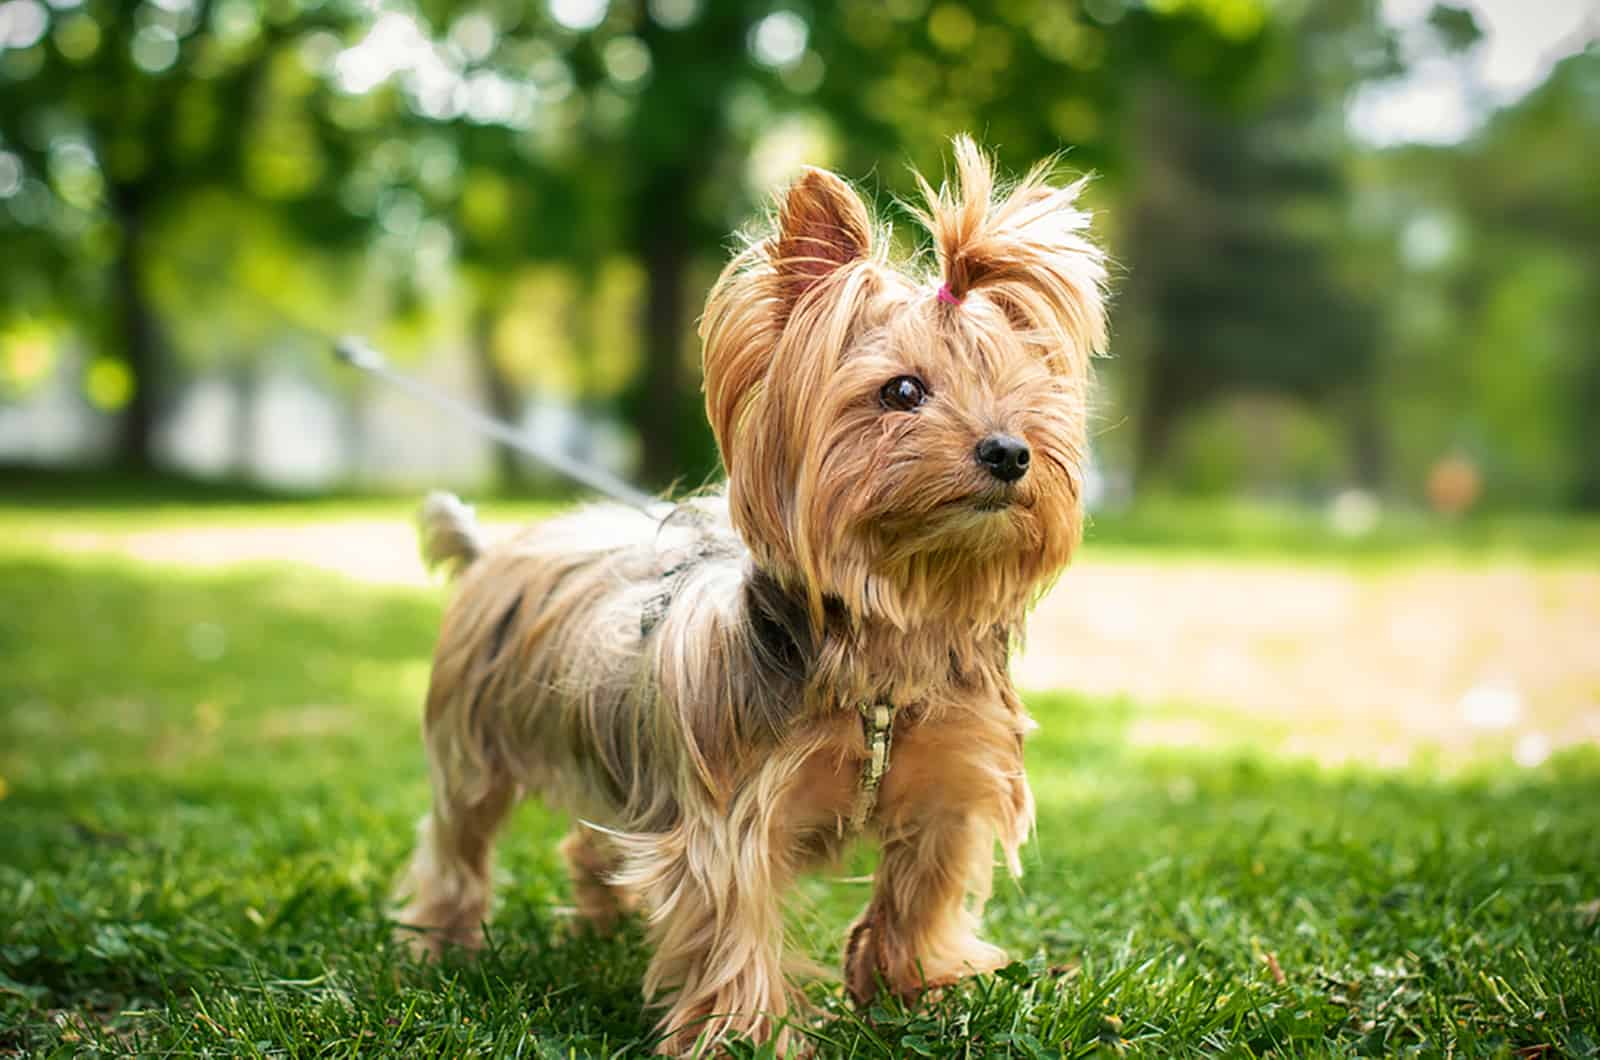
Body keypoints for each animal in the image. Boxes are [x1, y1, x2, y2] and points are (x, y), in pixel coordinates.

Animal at [393, 139, 1107, 1056]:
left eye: (1029, 392)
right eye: (902, 391)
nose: (1011, 451)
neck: (888, 639)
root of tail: (495, 550)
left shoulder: (951, 787)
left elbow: (922, 892)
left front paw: (917, 993)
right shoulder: (730, 813)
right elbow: (733, 920)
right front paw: (748, 1034)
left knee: (595, 843)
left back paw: (598, 922)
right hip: (474, 746)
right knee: (458, 839)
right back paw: (444, 943)